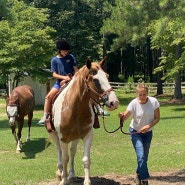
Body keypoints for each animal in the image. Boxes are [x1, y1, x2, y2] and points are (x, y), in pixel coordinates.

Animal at [49, 57, 118, 185]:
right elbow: (65, 158)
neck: (74, 108)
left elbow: (85, 159)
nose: (114, 102)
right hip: (54, 135)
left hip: (75, 137)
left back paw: (72, 175)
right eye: (95, 80)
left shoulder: (87, 135)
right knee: (60, 152)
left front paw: (86, 181)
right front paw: (64, 180)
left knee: (72, 152)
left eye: (107, 76)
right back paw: (60, 173)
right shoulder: (63, 138)